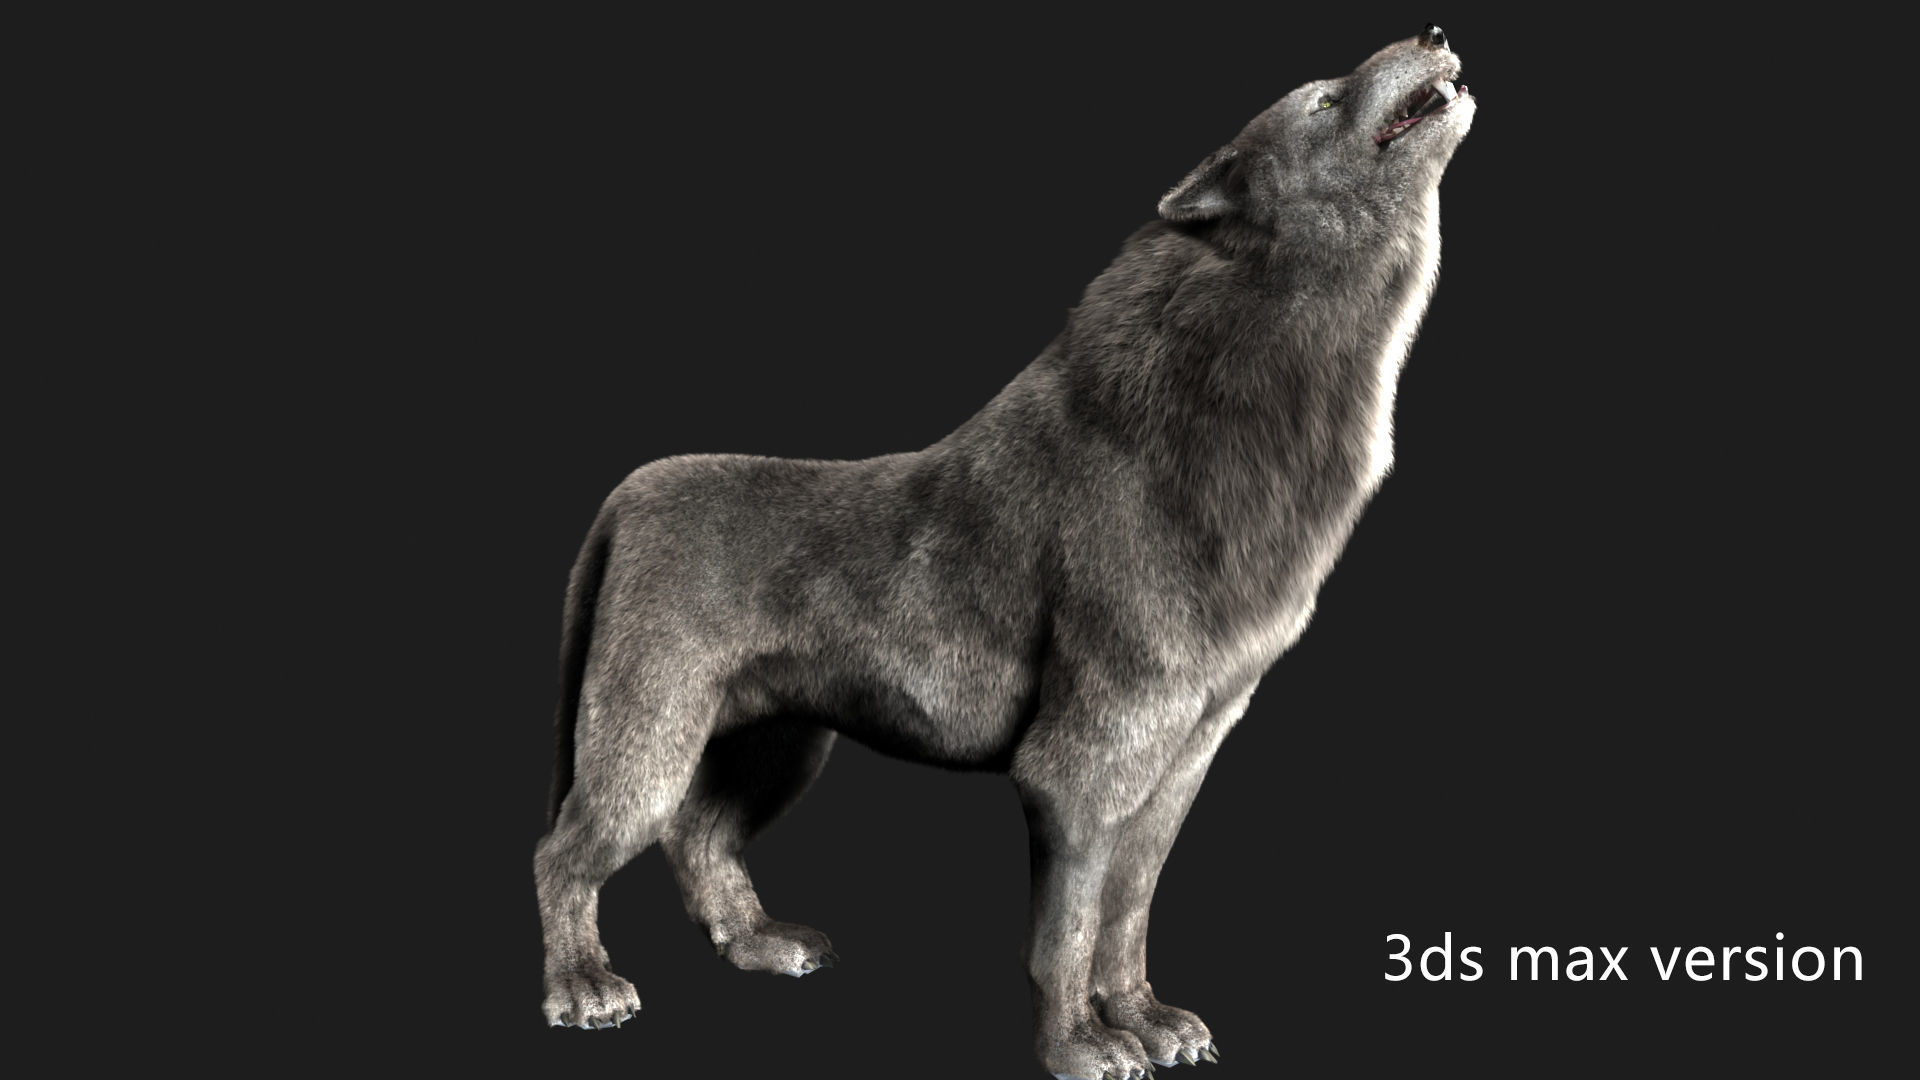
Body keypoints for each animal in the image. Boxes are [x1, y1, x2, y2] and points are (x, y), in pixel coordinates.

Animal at [534, 25, 1474, 1079]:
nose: (1433, 32)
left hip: (776, 743)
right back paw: (585, 991)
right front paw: (1082, 1047)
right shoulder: (1081, 770)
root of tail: (627, 494)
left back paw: (764, 945)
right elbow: (1067, 931)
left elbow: (1127, 915)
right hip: (647, 741)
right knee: (567, 852)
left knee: (699, 838)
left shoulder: (1181, 762)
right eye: (1322, 101)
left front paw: (1146, 1020)